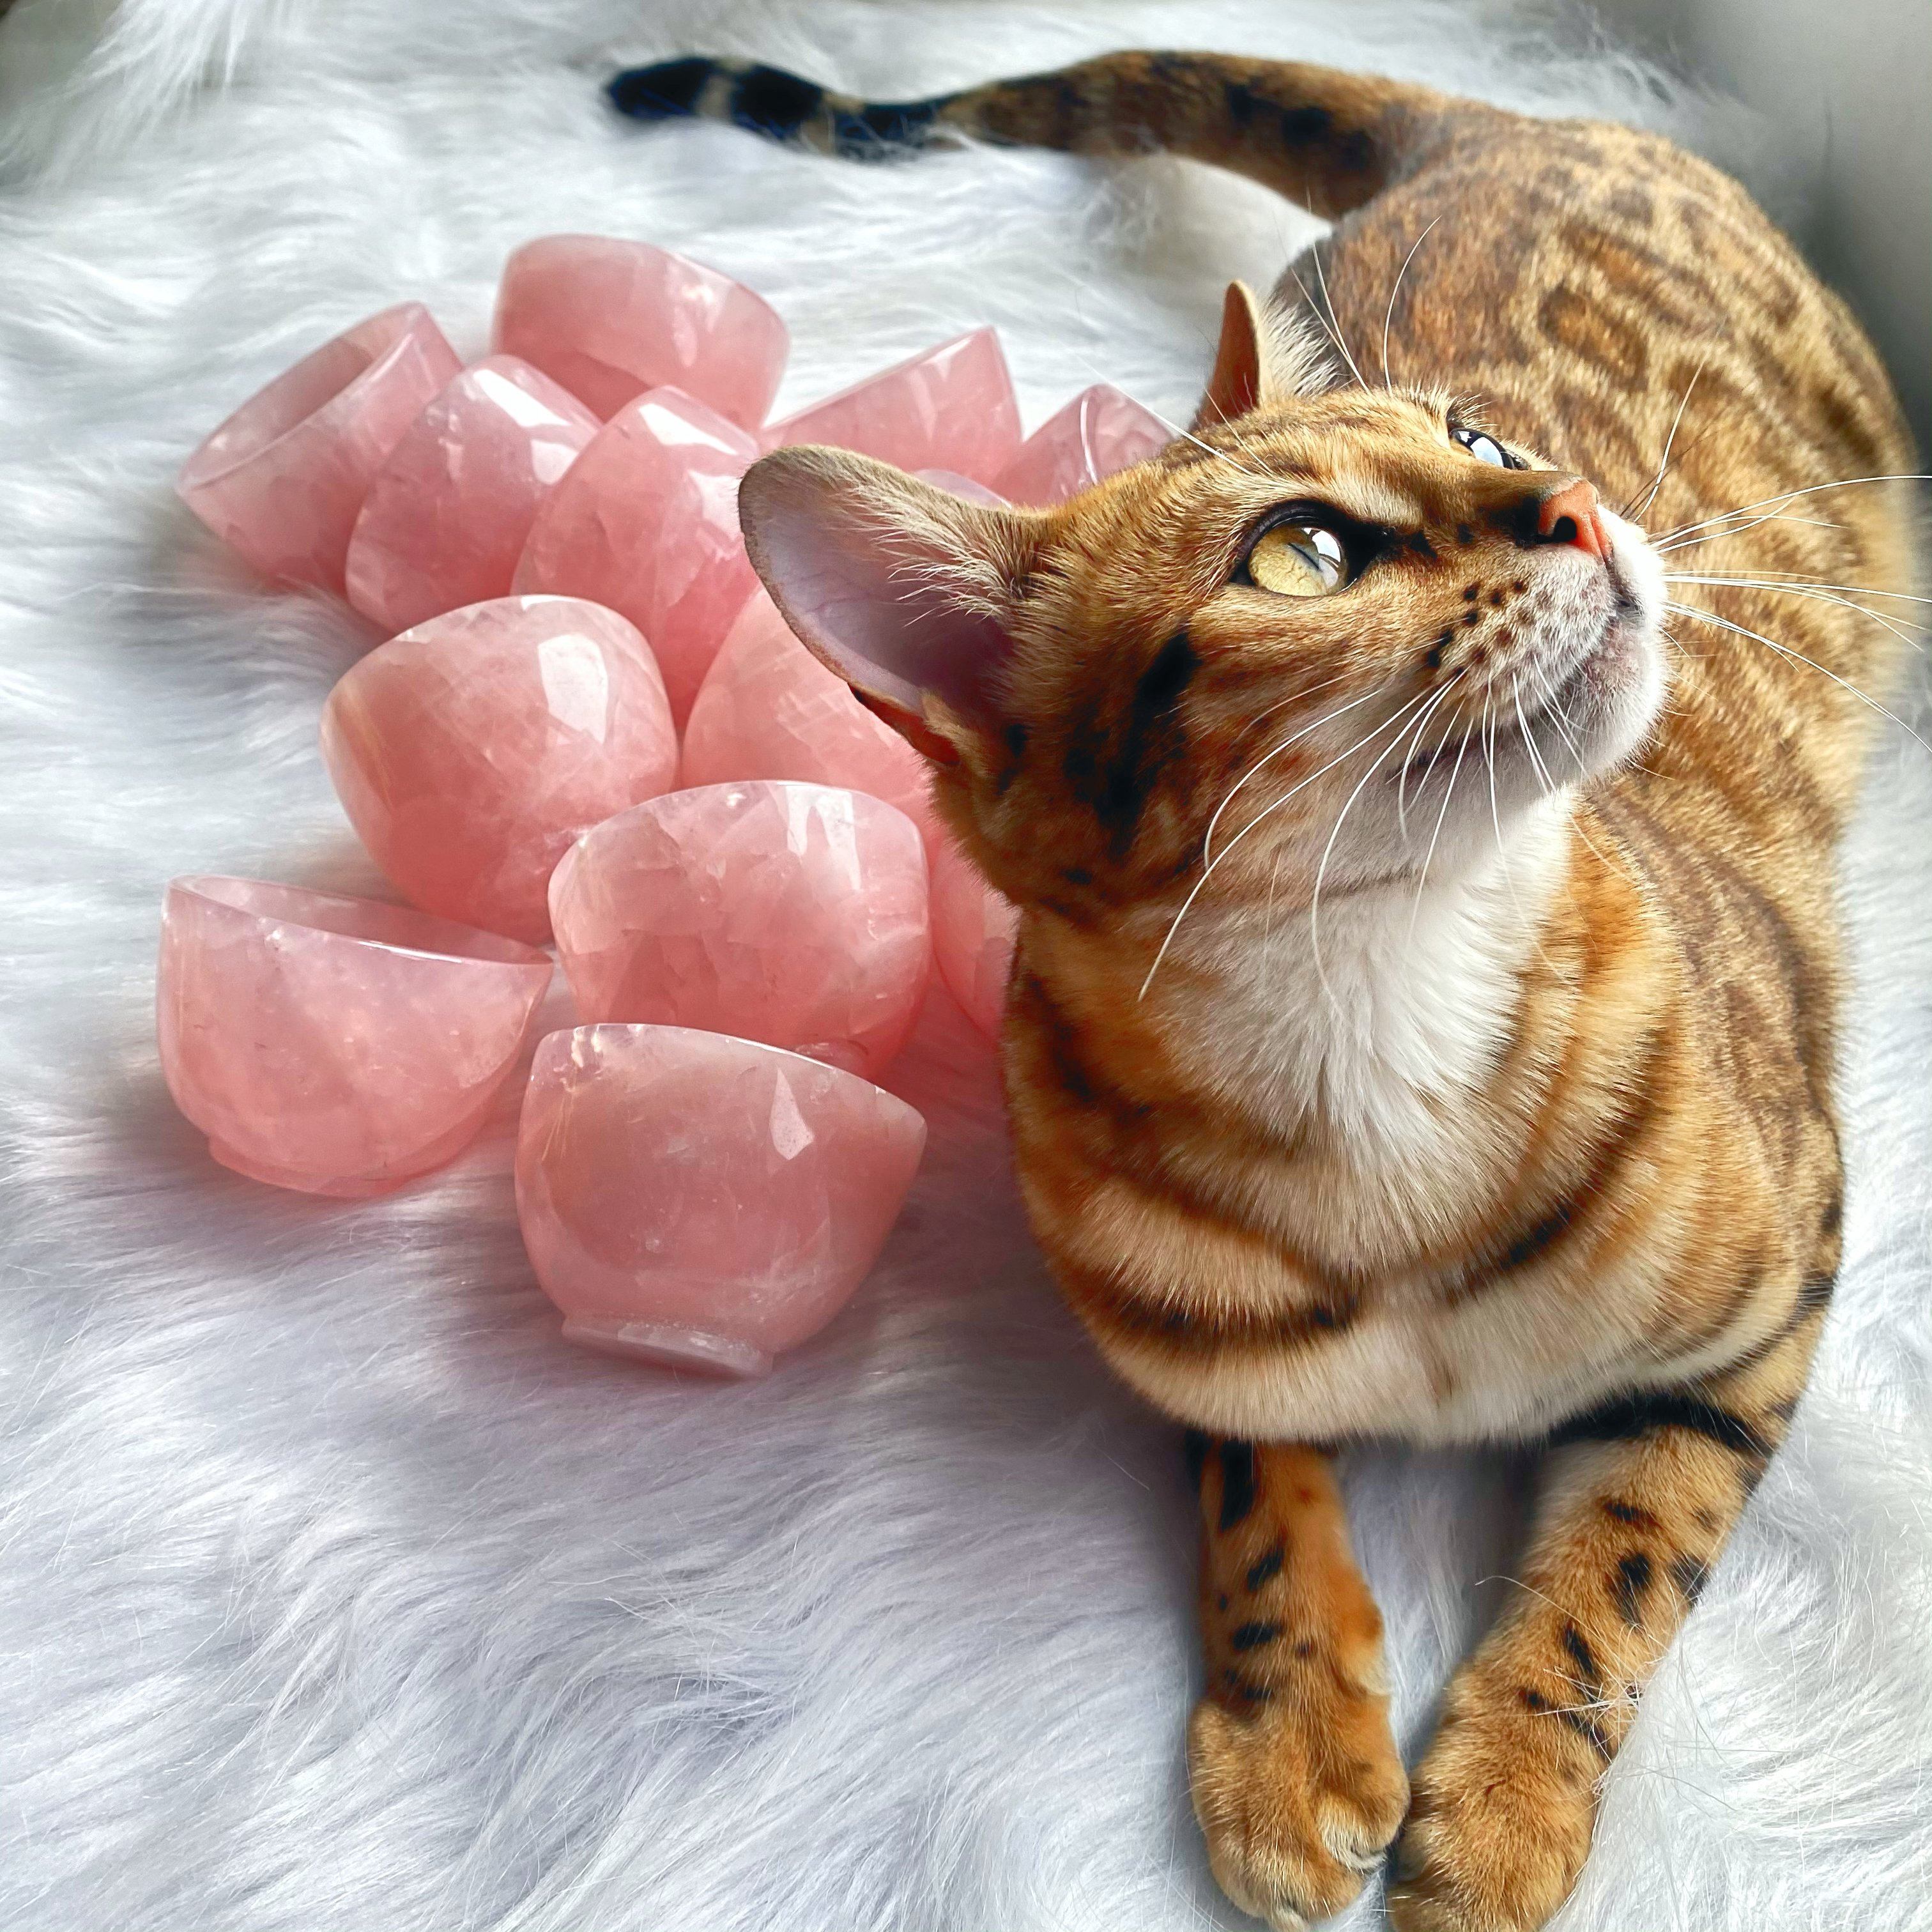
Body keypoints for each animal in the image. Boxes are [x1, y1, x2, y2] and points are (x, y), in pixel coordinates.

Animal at [614, 45, 1916, 1932]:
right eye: (1302, 554)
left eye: (1479, 436)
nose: (1576, 499)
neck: (1374, 1031)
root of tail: (1505, 126)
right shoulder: (1181, 1339)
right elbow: (1249, 1488)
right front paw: (1291, 1731)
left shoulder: (1783, 1284)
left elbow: (1626, 1563)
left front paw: (1505, 1798)